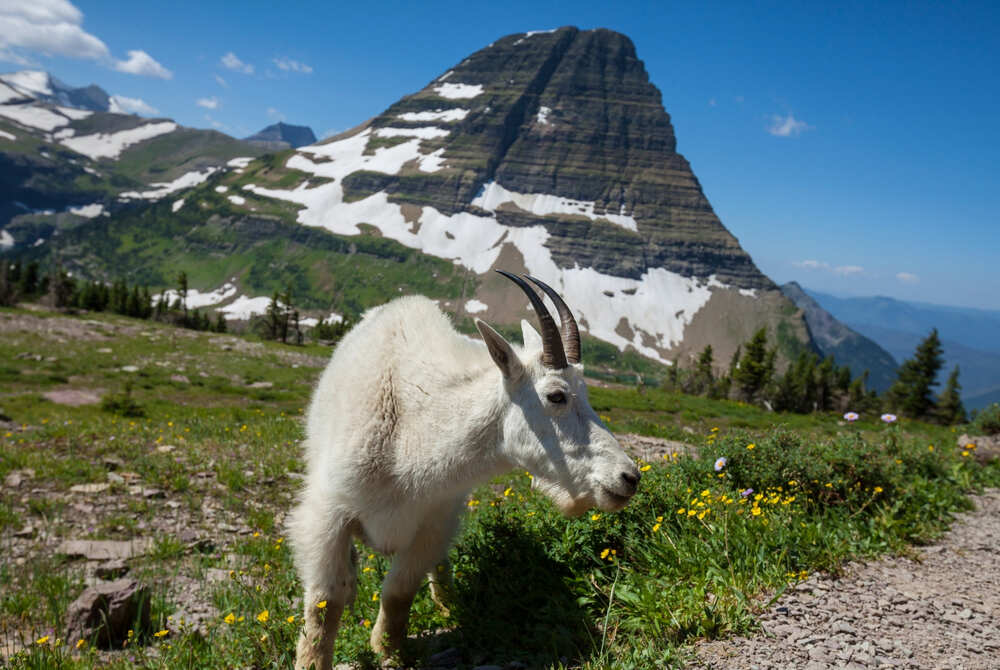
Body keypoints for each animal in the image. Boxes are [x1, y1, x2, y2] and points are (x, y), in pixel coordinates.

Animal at [289, 271, 640, 670]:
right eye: (556, 395)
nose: (628, 477)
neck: (409, 439)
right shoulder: (328, 516)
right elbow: (325, 601)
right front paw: (313, 661)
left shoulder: (434, 523)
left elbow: (399, 591)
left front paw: (389, 651)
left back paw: (448, 604)